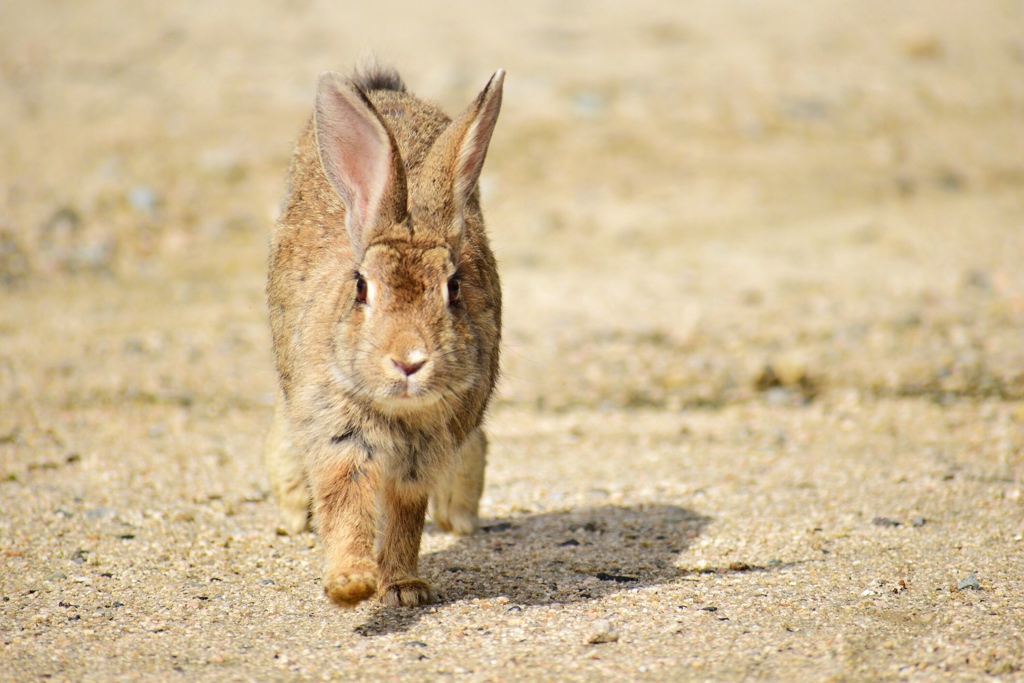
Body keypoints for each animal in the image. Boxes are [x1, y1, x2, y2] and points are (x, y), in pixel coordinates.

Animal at [264, 62, 503, 610]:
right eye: (361, 287)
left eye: (454, 288)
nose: (409, 361)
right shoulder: (338, 437)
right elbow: (344, 505)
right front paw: (351, 583)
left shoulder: (420, 460)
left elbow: (404, 517)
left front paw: (403, 588)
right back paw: (294, 513)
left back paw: (460, 517)